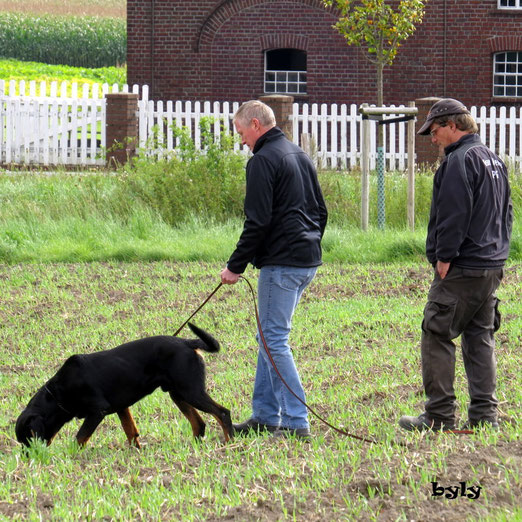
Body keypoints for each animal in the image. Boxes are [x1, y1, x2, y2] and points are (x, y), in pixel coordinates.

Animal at [15, 320, 232, 446]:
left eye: (27, 439)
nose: (29, 459)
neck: (58, 393)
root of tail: (187, 342)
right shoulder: (121, 407)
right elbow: (131, 432)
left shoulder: (98, 410)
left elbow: (79, 438)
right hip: (177, 393)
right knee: (199, 423)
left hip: (191, 391)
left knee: (222, 413)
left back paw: (229, 443)